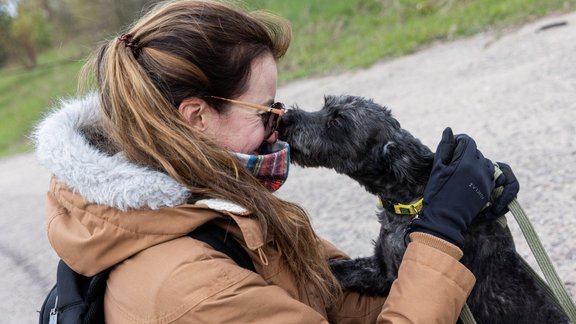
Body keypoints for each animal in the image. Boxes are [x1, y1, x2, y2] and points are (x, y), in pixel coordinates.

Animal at [278, 95, 568, 322]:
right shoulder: (380, 270)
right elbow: (335, 269)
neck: (409, 206)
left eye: (337, 121)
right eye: (325, 105)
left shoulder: (394, 278)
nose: (285, 119)